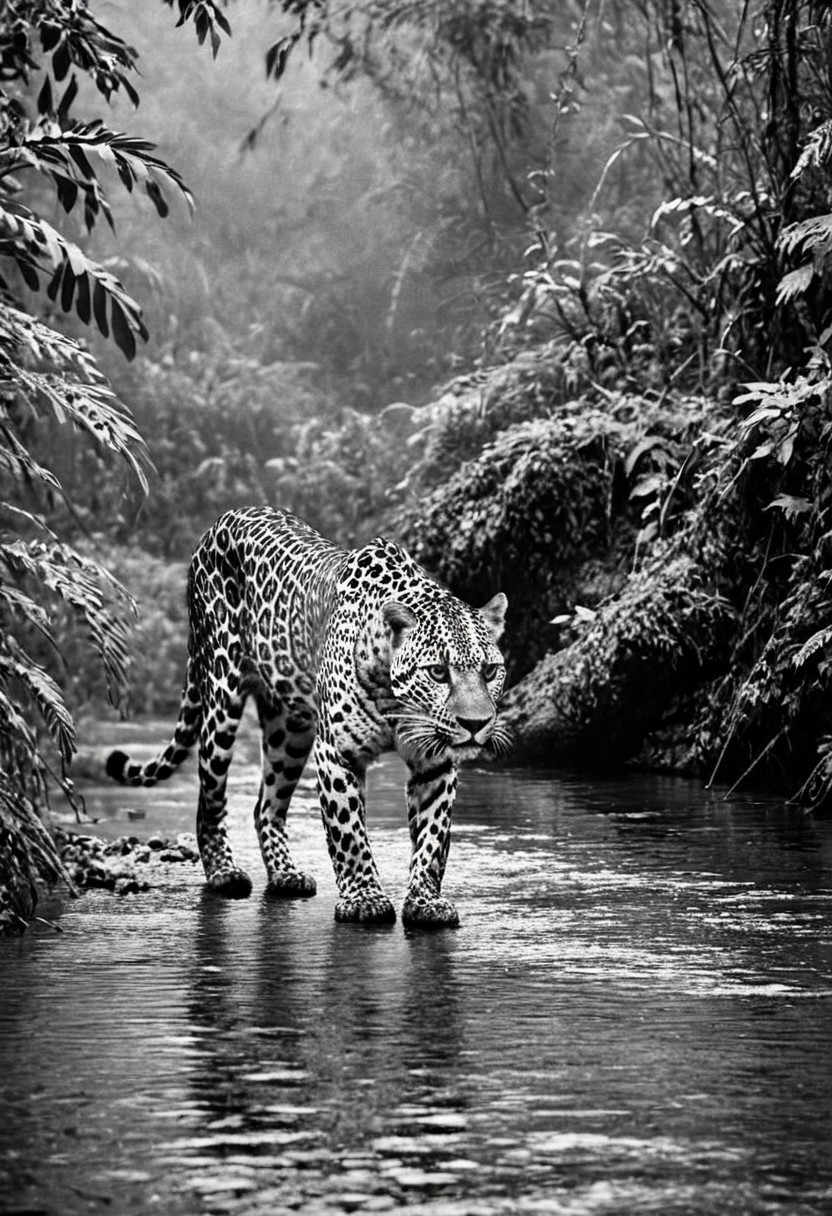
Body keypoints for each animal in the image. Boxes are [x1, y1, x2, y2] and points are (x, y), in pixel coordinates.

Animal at [106, 506, 509, 928]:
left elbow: (433, 838)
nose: (476, 725)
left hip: (289, 731)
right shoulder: (337, 753)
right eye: (438, 672)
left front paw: (425, 902)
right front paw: (364, 899)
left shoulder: (436, 762)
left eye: (490, 671)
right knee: (209, 799)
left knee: (265, 807)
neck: (393, 699)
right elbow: (348, 832)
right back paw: (224, 873)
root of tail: (223, 519)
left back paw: (286, 874)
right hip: (221, 698)